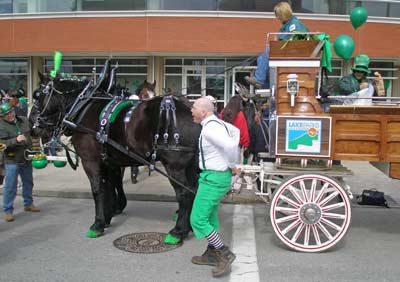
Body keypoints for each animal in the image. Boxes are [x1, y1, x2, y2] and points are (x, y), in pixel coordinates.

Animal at [30, 74, 200, 243]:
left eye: (38, 95)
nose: (32, 126)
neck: (83, 107)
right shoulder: (109, 161)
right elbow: (109, 186)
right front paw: (108, 215)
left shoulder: (90, 161)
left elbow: (98, 190)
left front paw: (98, 224)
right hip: (190, 164)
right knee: (194, 189)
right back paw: (189, 226)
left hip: (174, 165)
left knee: (185, 193)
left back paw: (178, 231)